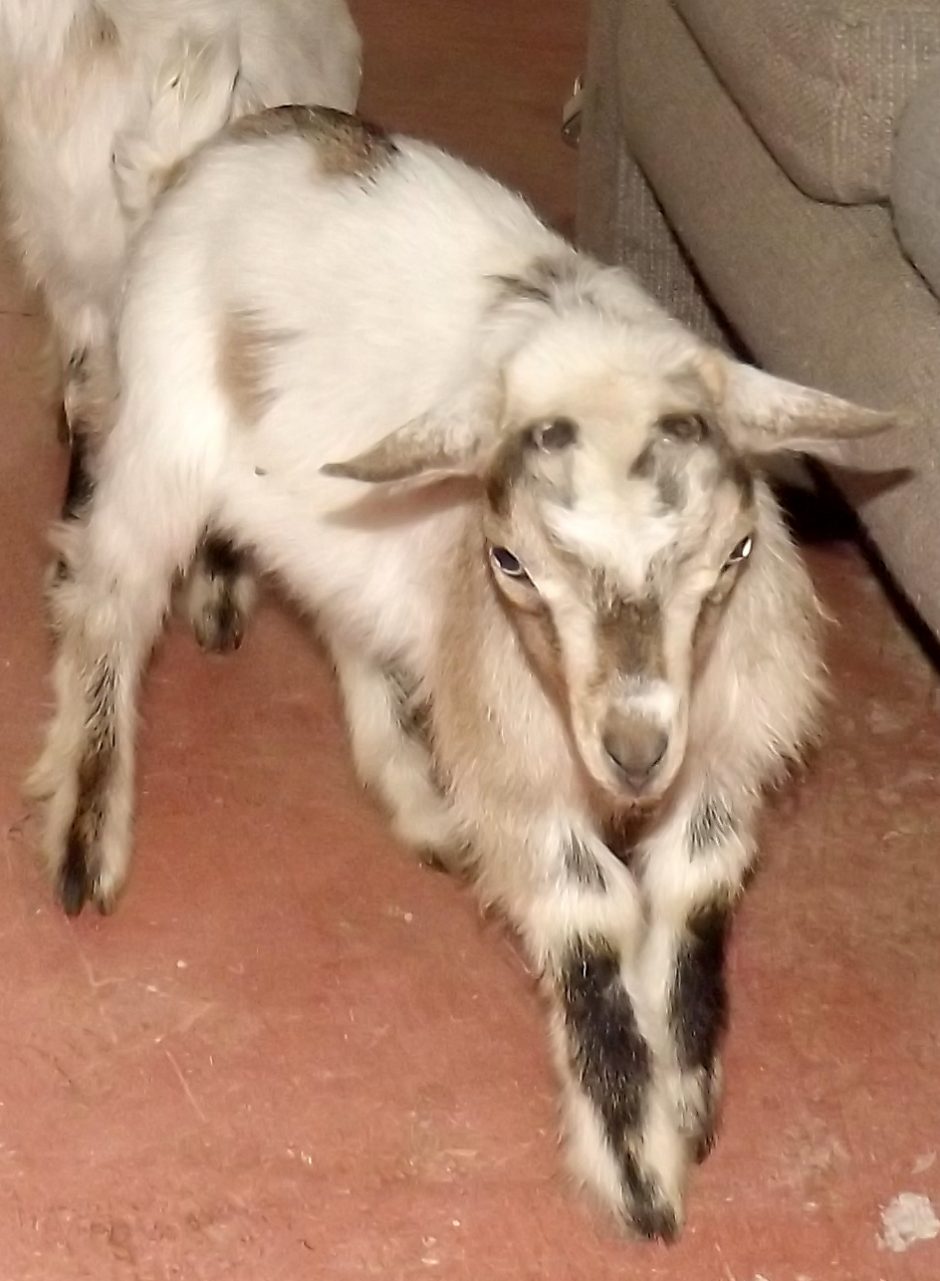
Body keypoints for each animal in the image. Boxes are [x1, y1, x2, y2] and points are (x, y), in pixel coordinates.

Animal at [29, 107, 897, 1239]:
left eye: (737, 551)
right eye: (511, 560)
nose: (632, 750)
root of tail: (213, 147)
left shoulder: (719, 751)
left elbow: (698, 892)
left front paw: (690, 1092)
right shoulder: (528, 762)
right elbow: (586, 916)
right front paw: (637, 1171)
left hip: (327, 514)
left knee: (344, 615)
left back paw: (413, 795)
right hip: (159, 440)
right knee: (108, 601)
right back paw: (86, 840)